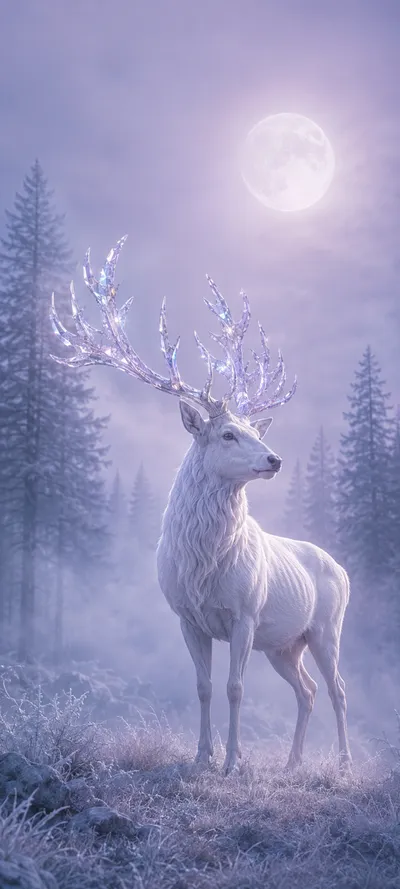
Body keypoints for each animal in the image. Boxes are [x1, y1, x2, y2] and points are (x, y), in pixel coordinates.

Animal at [50, 237, 352, 775]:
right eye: (229, 433)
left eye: (254, 430)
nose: (274, 459)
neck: (203, 566)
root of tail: (342, 569)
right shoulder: (188, 617)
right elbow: (204, 687)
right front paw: (201, 757)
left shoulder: (245, 614)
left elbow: (235, 688)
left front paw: (233, 762)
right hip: (285, 644)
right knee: (309, 690)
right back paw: (292, 763)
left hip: (325, 627)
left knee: (338, 688)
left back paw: (342, 762)